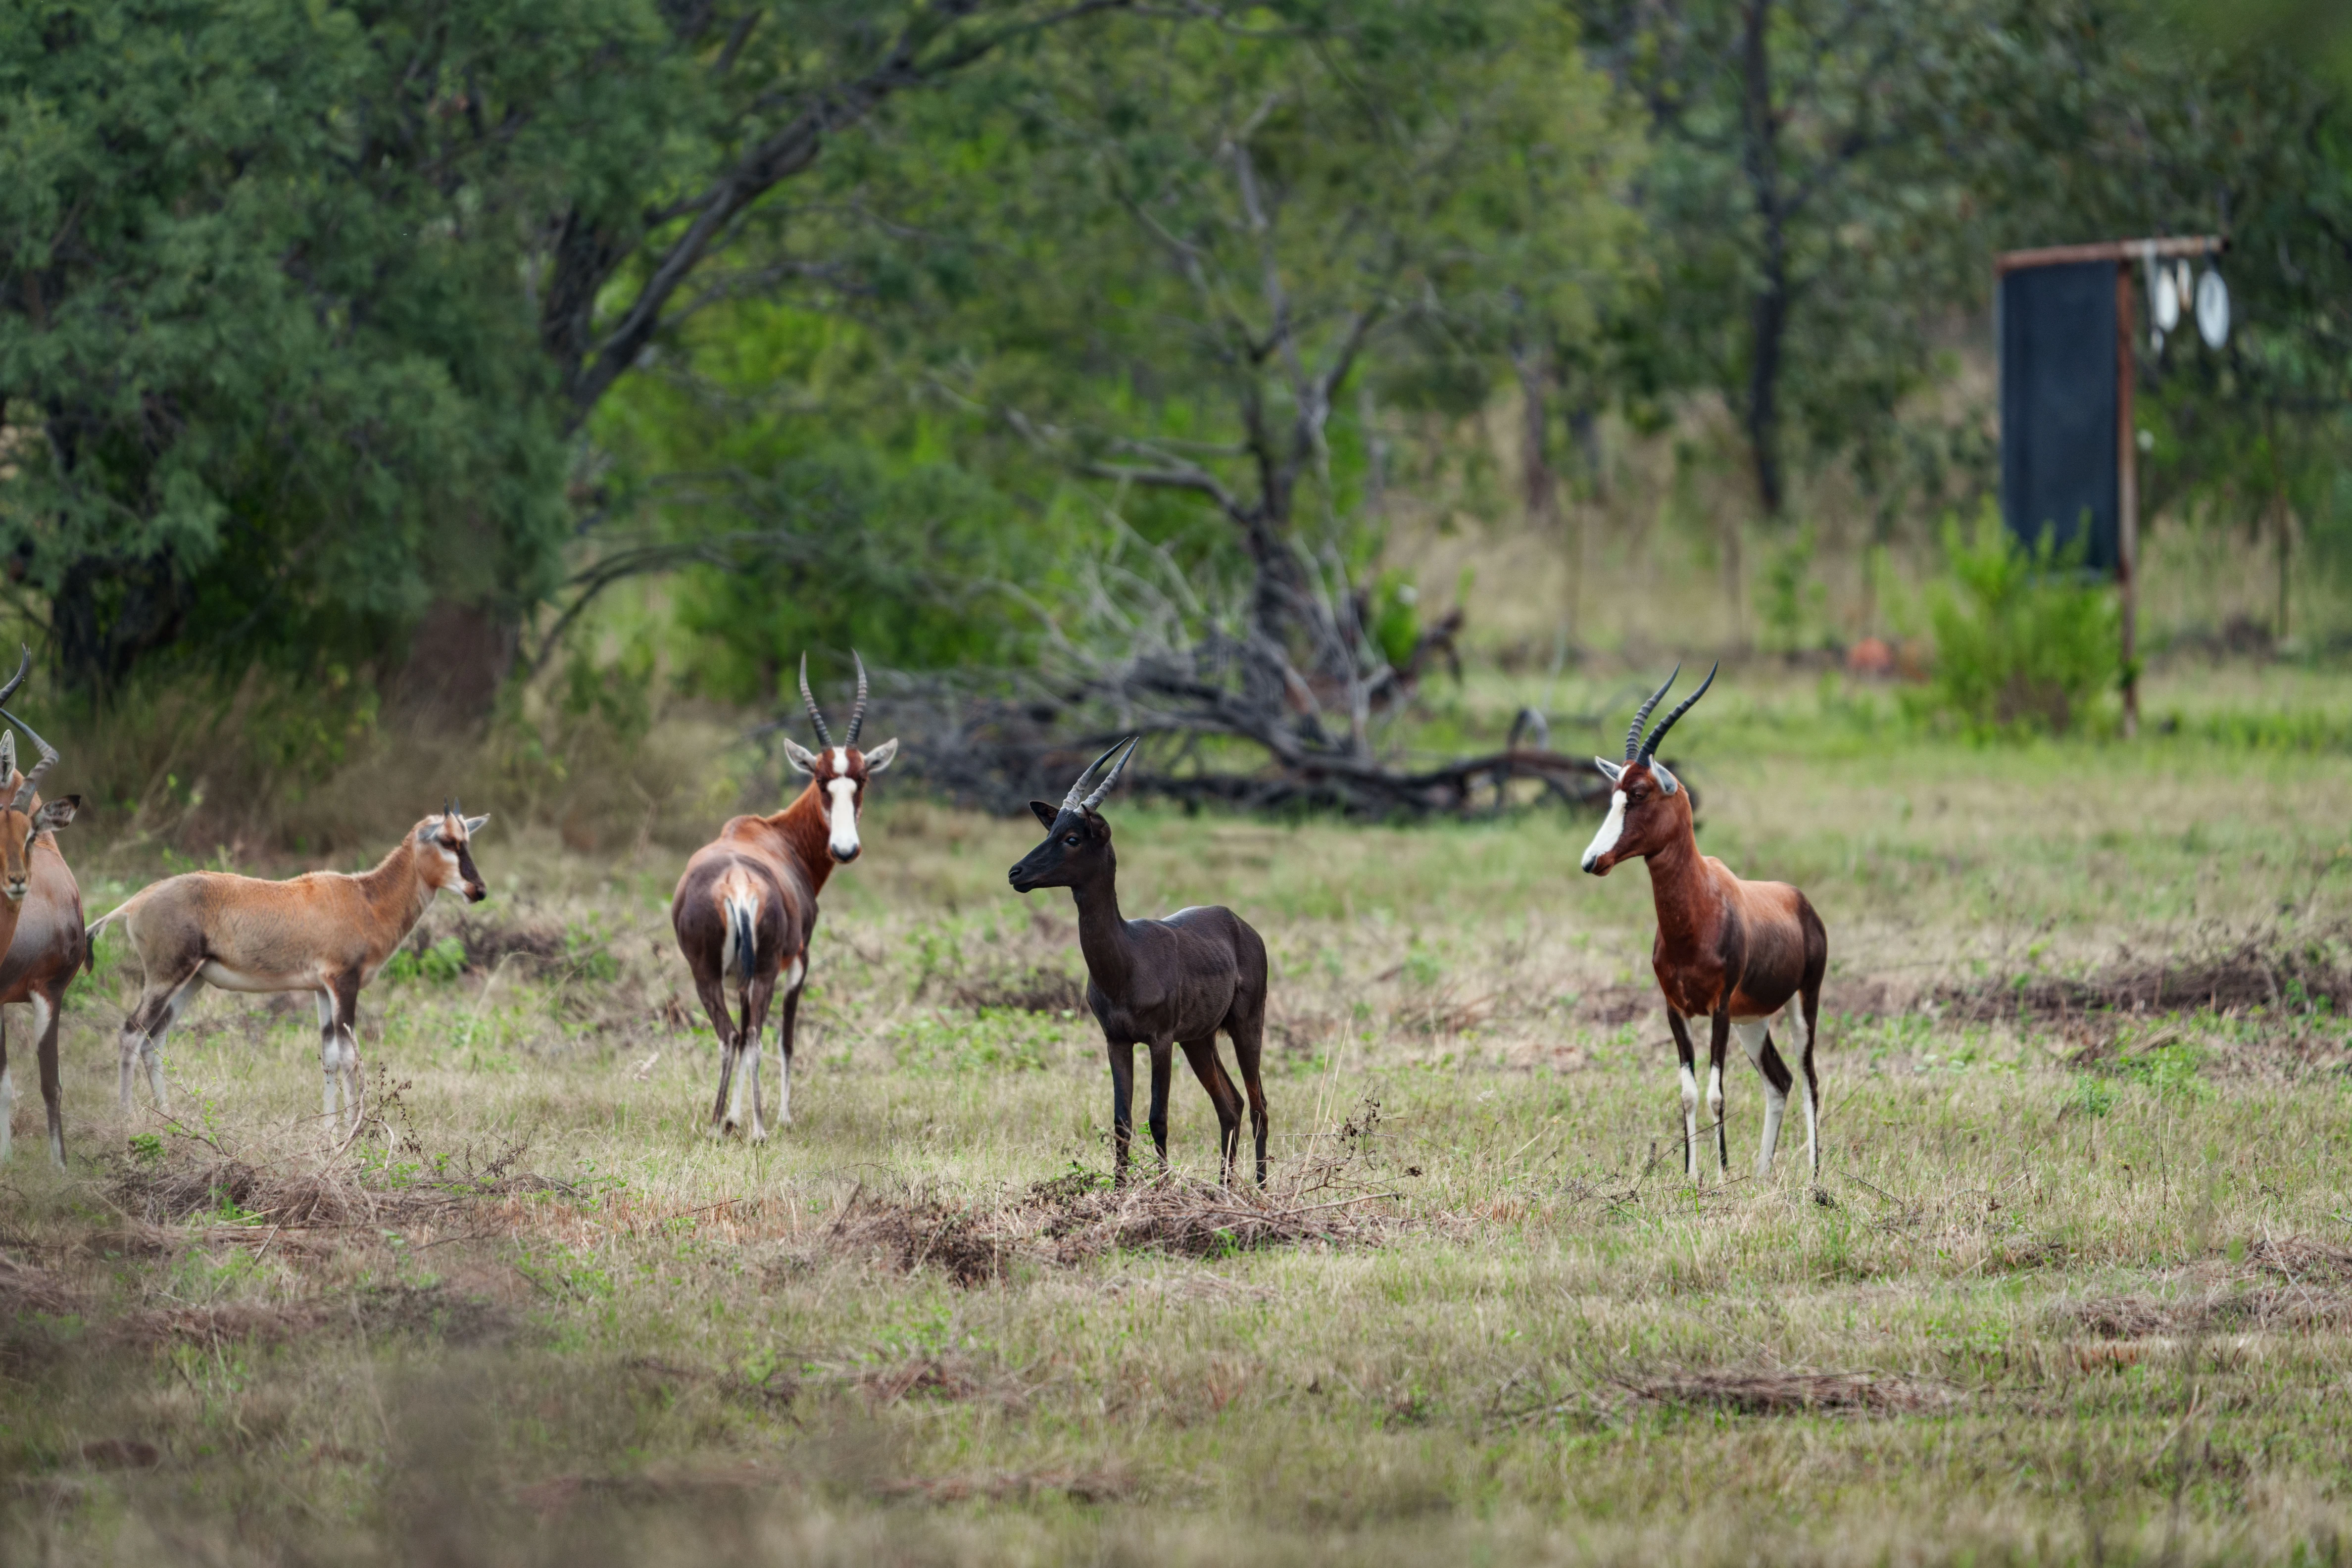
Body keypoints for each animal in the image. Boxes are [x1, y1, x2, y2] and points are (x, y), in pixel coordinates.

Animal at [85, 803, 490, 1137]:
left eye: (467, 840)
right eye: (447, 840)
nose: (479, 890)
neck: (364, 897)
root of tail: (136, 902)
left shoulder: (322, 990)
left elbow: (329, 1057)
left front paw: (329, 1132)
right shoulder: (344, 983)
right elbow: (350, 1056)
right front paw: (353, 1132)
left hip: (191, 982)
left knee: (154, 1040)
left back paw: (169, 1120)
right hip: (166, 978)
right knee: (131, 1032)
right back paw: (126, 1120)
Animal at [671, 653, 896, 1141]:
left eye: (861, 779)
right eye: (821, 779)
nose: (845, 849)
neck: (771, 835)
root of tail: (736, 882)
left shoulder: (740, 975)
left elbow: (744, 1034)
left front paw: (733, 1117)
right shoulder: (798, 963)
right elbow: (787, 1040)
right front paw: (782, 1117)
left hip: (708, 973)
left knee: (732, 1036)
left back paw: (716, 1125)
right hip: (766, 971)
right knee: (751, 1036)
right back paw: (759, 1130)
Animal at [1007, 739, 1272, 1186]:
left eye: (1073, 837)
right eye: (1051, 830)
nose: (1016, 872)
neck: (1126, 962)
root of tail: (1242, 925)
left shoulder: (1160, 1040)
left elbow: (1158, 1118)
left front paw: (1160, 1190)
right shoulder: (1116, 1040)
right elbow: (1122, 1121)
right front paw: (1119, 1190)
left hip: (1245, 1027)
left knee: (1259, 1106)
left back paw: (1260, 1189)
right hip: (1199, 1040)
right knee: (1231, 1105)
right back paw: (1224, 1188)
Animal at [1580, 666, 1828, 1184]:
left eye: (1638, 794)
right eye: (1613, 795)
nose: (1592, 861)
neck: (1698, 913)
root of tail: (1800, 901)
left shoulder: (1718, 1008)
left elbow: (1716, 1093)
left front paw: (1719, 1175)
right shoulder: (1676, 1009)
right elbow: (1689, 1092)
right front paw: (1692, 1176)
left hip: (1802, 1003)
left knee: (1809, 1076)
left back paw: (1814, 1175)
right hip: (1753, 1020)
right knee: (1780, 1080)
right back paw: (1761, 1174)